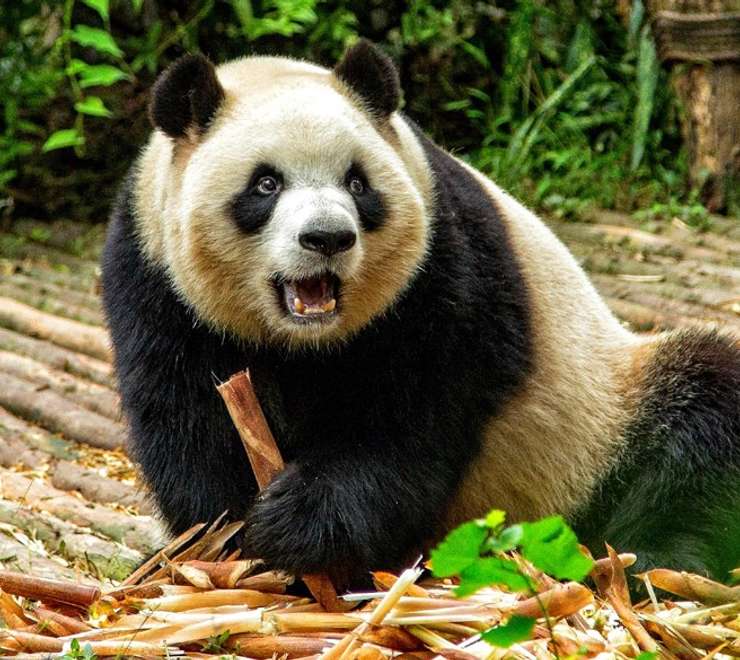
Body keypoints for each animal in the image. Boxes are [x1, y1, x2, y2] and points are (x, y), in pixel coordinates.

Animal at [102, 40, 740, 585]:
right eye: (265, 184)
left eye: (357, 182)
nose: (327, 237)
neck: (305, 341)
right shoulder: (155, 281)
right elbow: (188, 417)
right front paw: (229, 540)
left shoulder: (443, 272)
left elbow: (409, 423)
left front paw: (295, 524)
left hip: (603, 419)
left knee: (703, 413)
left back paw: (656, 560)